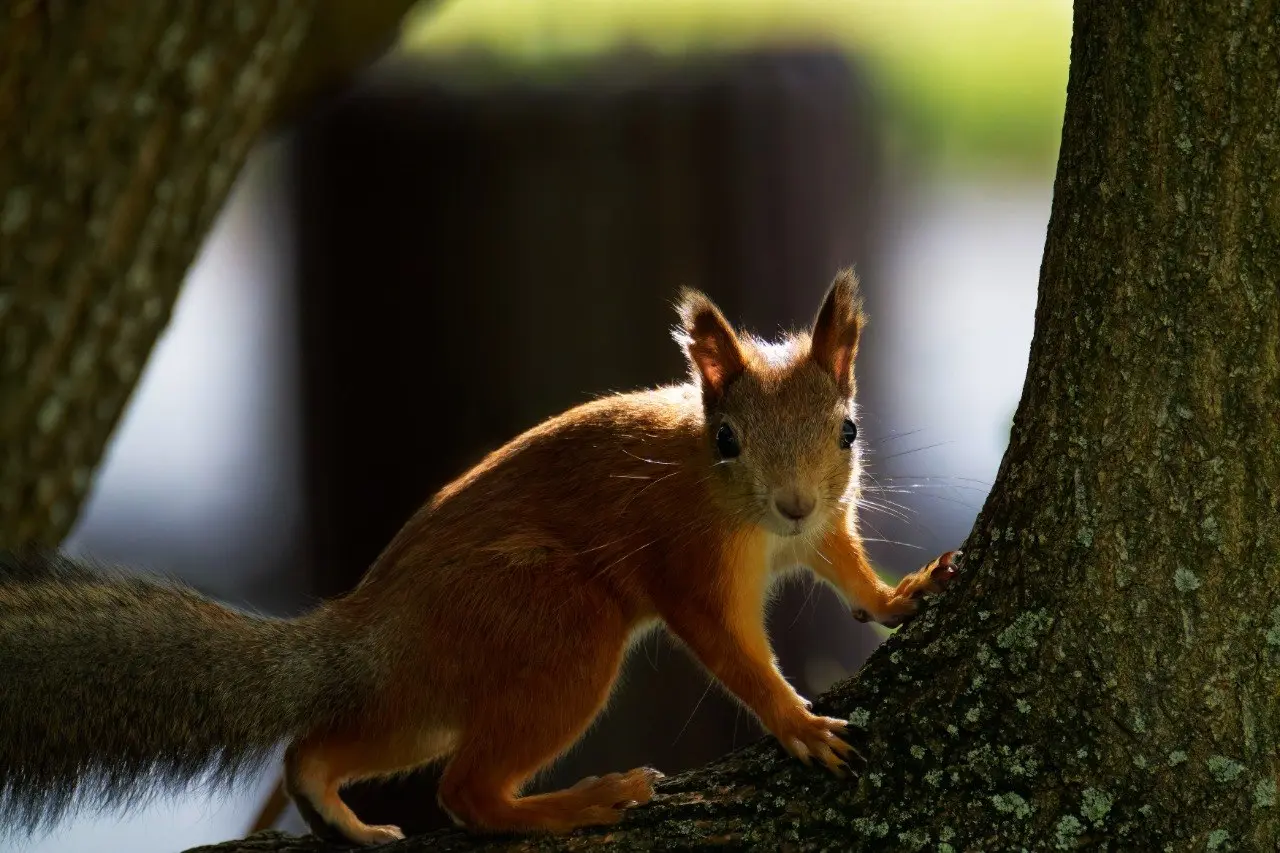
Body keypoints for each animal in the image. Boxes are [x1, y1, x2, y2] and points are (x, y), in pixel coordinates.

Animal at [0, 270, 959, 846]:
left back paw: (339, 811)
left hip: (423, 703)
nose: (791, 500)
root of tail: (365, 633)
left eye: (849, 429)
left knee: (324, 746)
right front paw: (798, 722)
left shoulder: (823, 528)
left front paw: (902, 594)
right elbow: (731, 652)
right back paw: (582, 800)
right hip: (557, 626)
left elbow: (847, 569)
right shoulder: (685, 560)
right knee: (466, 792)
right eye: (726, 441)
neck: (759, 526)